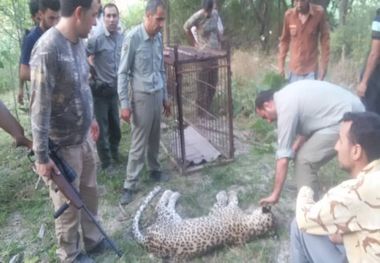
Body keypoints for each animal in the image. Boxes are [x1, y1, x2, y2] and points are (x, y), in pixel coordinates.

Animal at [132, 187, 274, 262]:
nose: (265, 203)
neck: (252, 228)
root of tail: (147, 241)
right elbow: (231, 200)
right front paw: (230, 192)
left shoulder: (217, 211)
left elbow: (227, 200)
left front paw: (226, 193)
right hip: (174, 219)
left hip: (171, 218)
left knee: (160, 206)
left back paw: (171, 193)